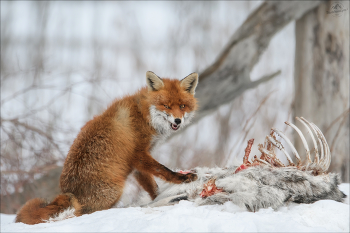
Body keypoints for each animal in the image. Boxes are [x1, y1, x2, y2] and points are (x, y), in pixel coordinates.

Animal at [15, 71, 200, 224]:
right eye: (166, 106)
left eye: (182, 106)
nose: (178, 120)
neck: (144, 115)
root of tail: (69, 192)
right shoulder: (139, 155)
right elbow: (163, 170)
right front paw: (182, 179)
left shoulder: (136, 165)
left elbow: (154, 188)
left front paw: (162, 197)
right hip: (116, 190)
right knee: (84, 214)